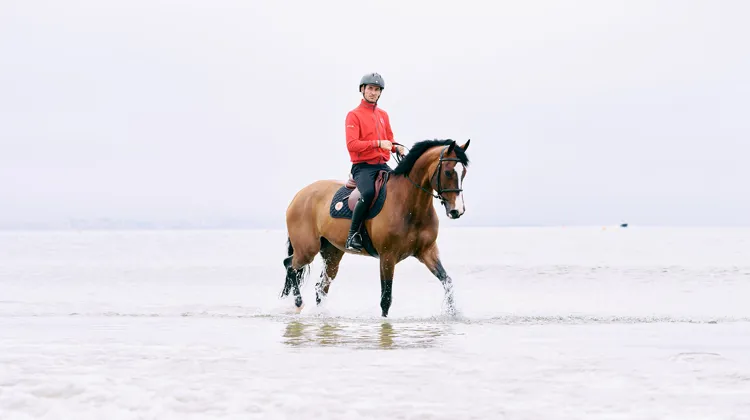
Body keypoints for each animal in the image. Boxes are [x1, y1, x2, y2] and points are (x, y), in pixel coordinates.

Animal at [280, 138, 470, 317]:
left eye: (464, 173)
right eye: (448, 172)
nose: (457, 211)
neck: (409, 204)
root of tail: (299, 195)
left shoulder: (427, 251)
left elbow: (447, 281)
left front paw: (453, 314)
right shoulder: (387, 257)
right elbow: (386, 298)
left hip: (332, 254)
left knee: (321, 286)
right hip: (307, 249)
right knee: (290, 265)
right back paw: (298, 303)